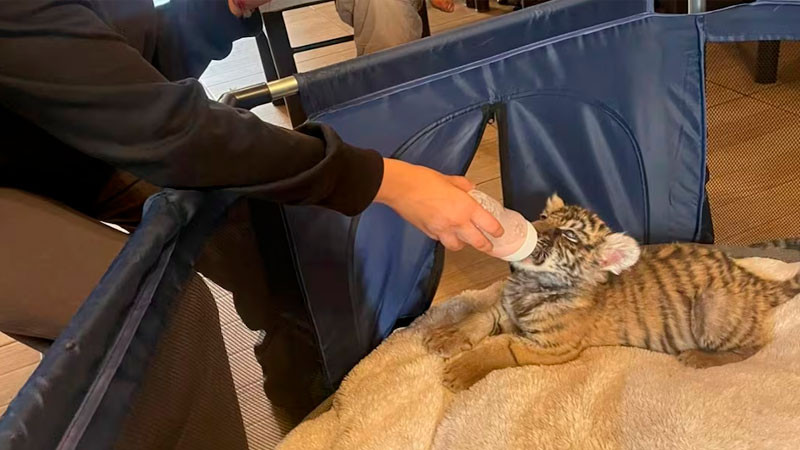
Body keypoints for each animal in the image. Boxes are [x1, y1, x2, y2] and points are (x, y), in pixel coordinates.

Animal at [424, 193, 800, 391]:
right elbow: (477, 318)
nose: (531, 229)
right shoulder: (503, 309)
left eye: (569, 236)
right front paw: (444, 336)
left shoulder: (553, 347)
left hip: (712, 309)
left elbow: (500, 347)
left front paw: (458, 372)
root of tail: (751, 280)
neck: (534, 284)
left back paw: (698, 358)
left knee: (753, 346)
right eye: (542, 215)